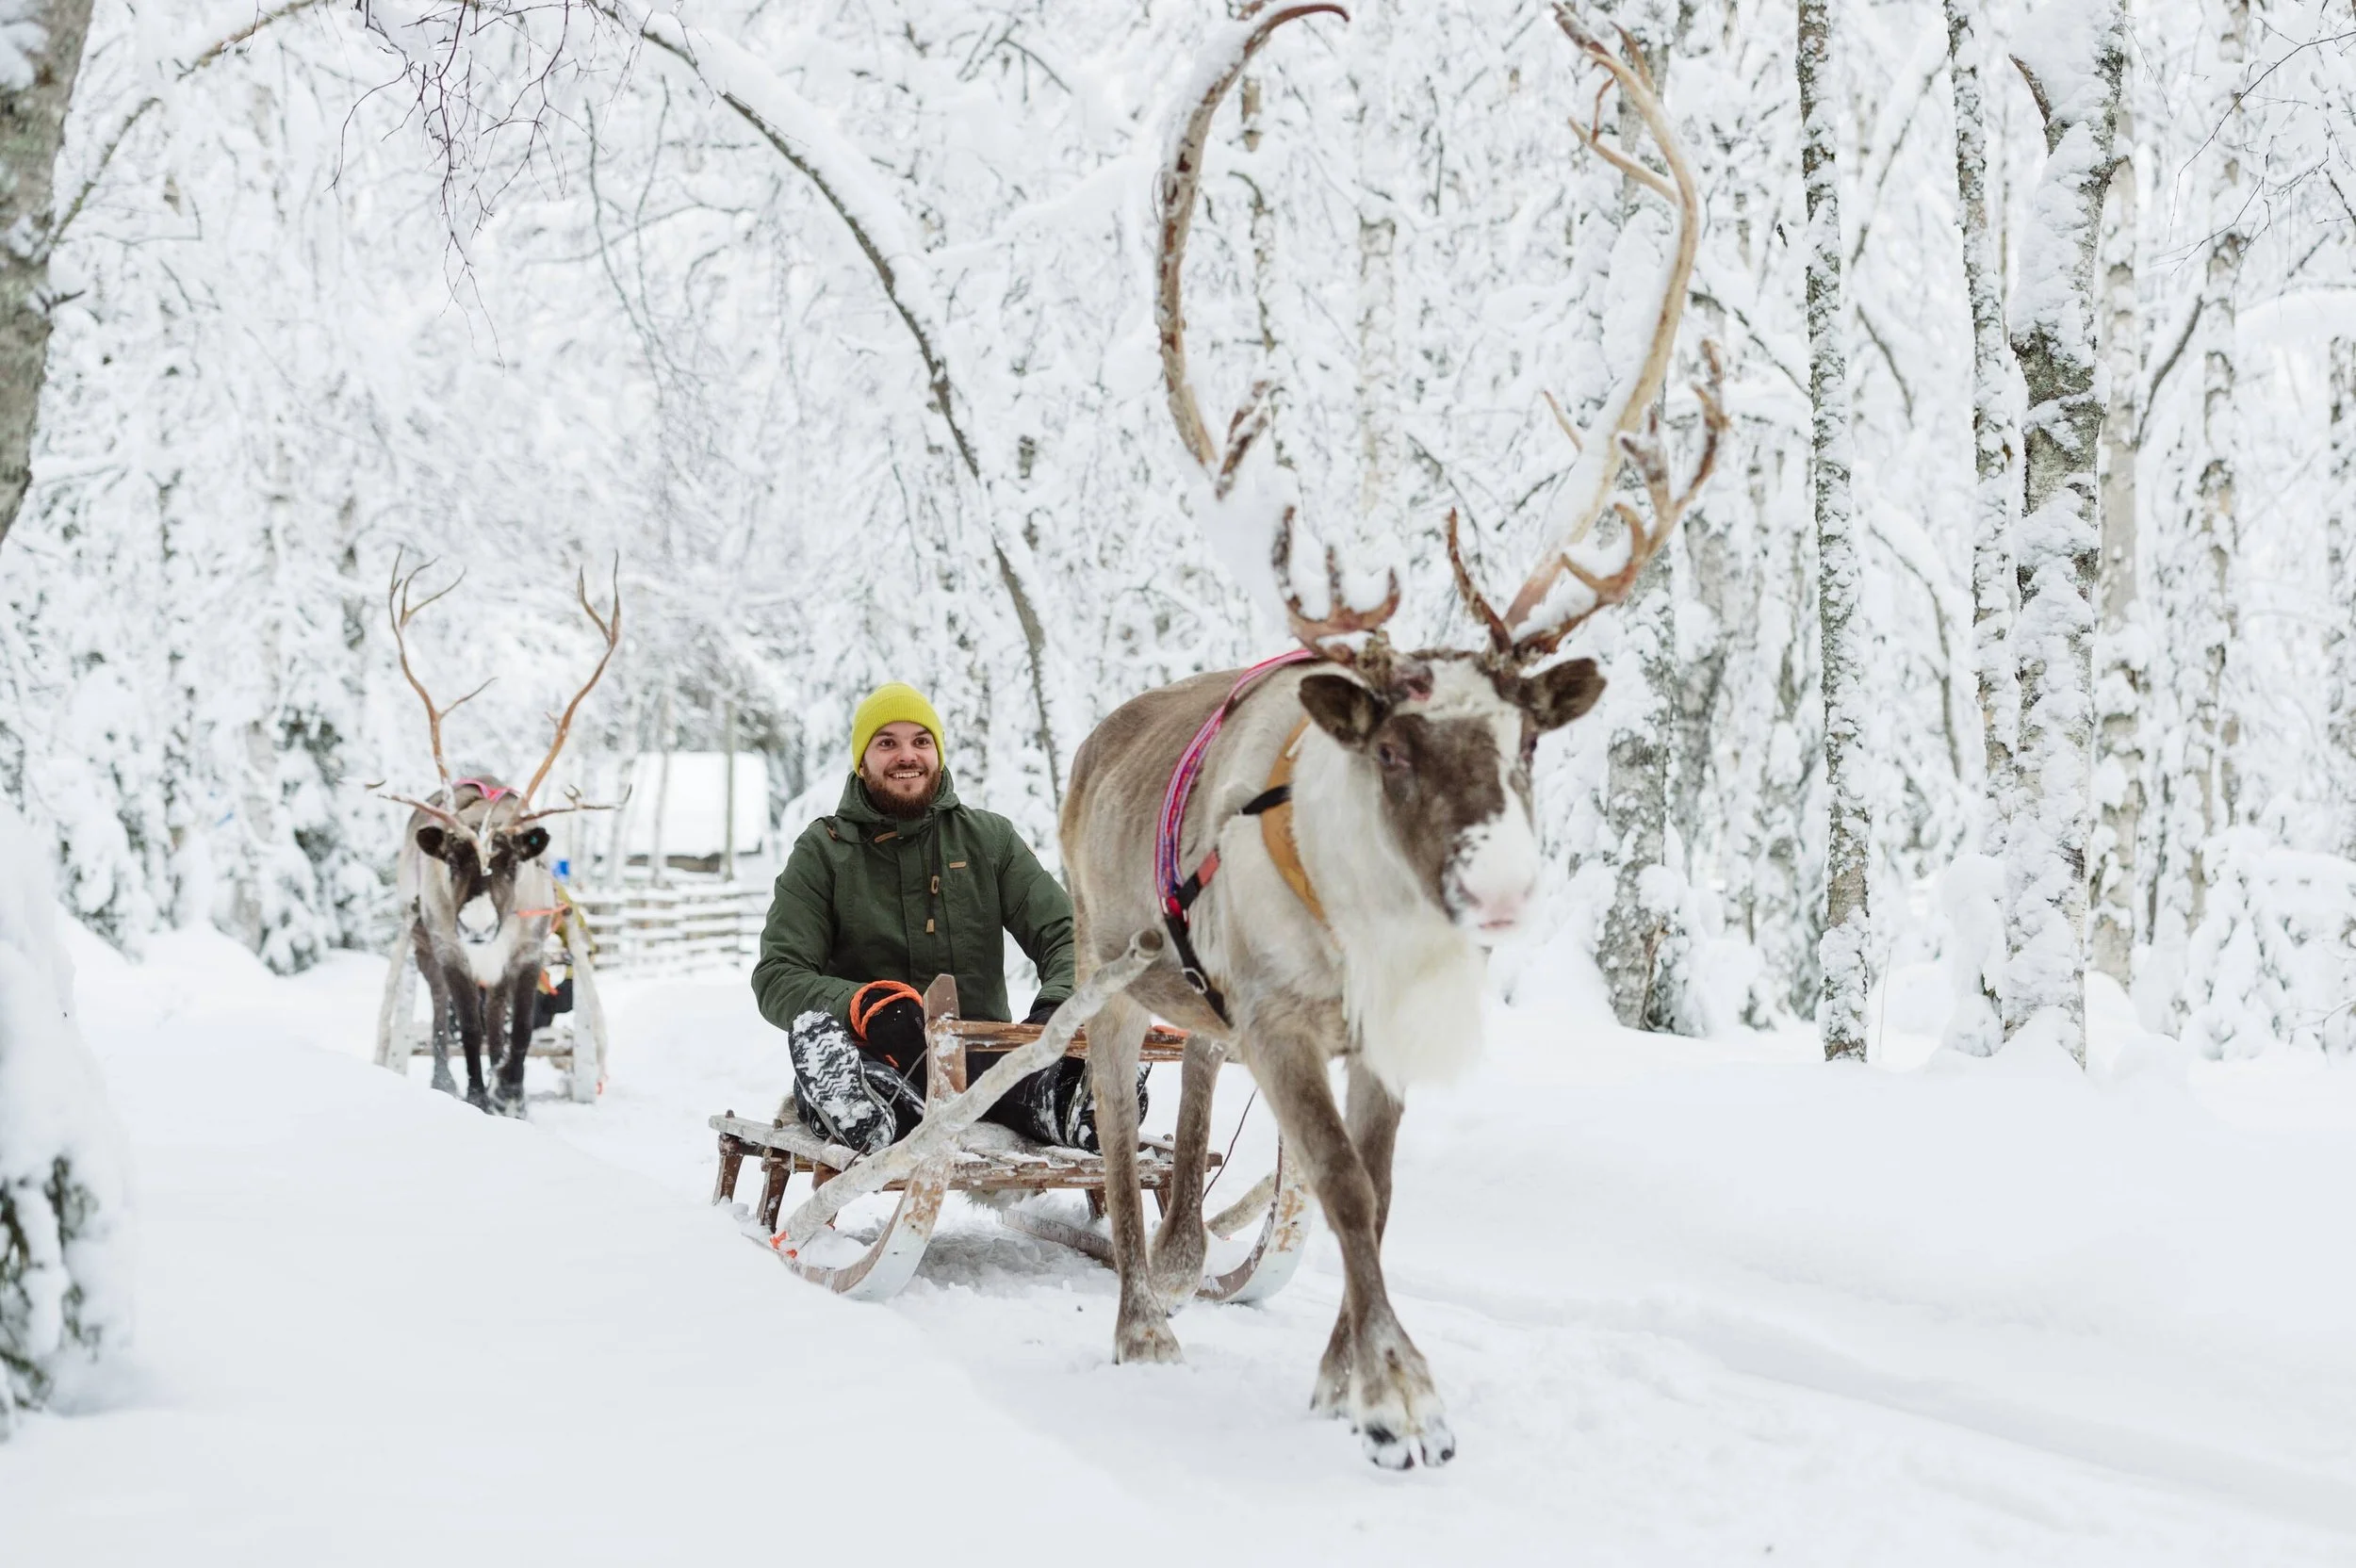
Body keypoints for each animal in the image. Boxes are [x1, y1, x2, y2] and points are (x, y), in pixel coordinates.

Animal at [381, 554, 622, 1117]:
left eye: (512, 863)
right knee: (442, 1017)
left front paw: (510, 1094)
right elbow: (465, 1026)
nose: (475, 925)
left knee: (499, 1022)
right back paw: (446, 1080)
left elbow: (518, 1031)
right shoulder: (451, 951)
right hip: (423, 942)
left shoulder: (526, 954)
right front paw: (474, 1093)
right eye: (452, 860)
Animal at [1056, 2, 1725, 1468]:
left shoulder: (1373, 1026)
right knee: (1124, 1141)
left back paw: (1186, 1258)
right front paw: (1399, 1397)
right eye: (1398, 751)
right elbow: (1343, 1189)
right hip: (1103, 969)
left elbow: (1373, 1180)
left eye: (1529, 743)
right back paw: (1141, 1315)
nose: (1508, 891)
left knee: (1194, 1098)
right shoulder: (1283, 1017)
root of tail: (1100, 738)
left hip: (1198, 1003)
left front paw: (1340, 1370)